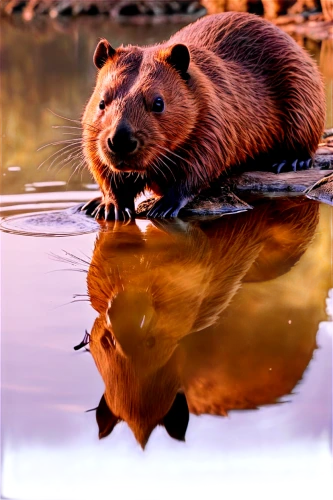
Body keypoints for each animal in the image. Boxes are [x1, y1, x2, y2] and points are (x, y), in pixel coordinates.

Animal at [80, 11, 324, 219]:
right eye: (101, 102)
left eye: (158, 103)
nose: (120, 140)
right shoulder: (93, 136)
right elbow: (102, 169)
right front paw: (110, 207)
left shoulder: (213, 118)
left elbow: (201, 166)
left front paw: (164, 206)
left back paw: (290, 161)